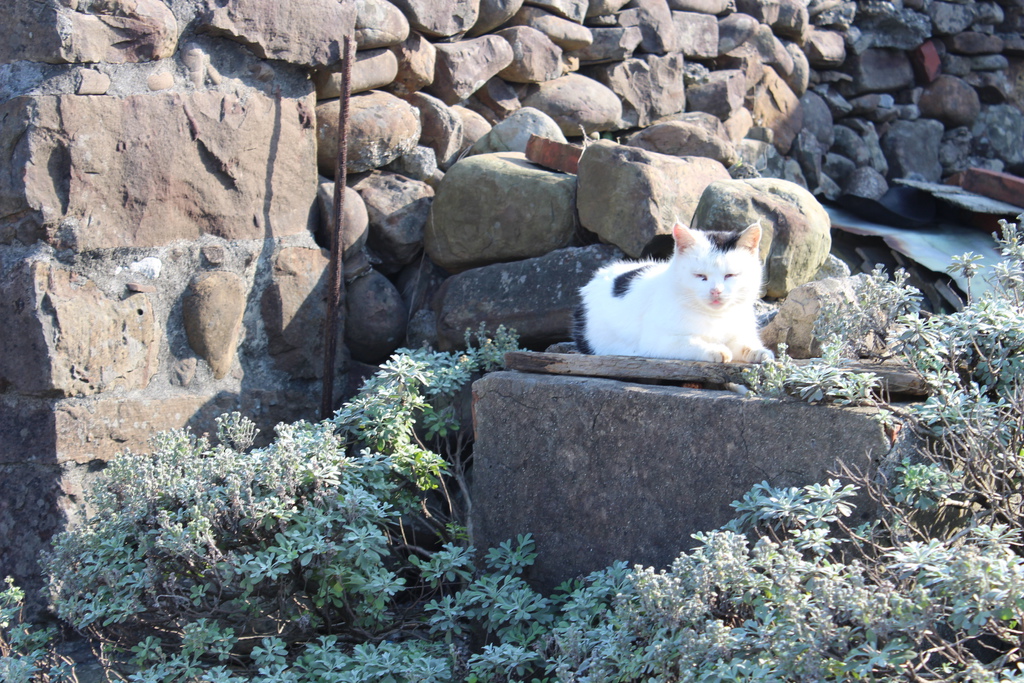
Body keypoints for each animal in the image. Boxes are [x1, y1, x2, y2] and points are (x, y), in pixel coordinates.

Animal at [577, 223, 774, 362]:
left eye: (730, 275)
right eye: (700, 275)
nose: (716, 291)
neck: (715, 318)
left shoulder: (739, 333)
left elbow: (745, 344)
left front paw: (760, 352)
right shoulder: (656, 341)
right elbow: (690, 341)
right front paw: (714, 349)